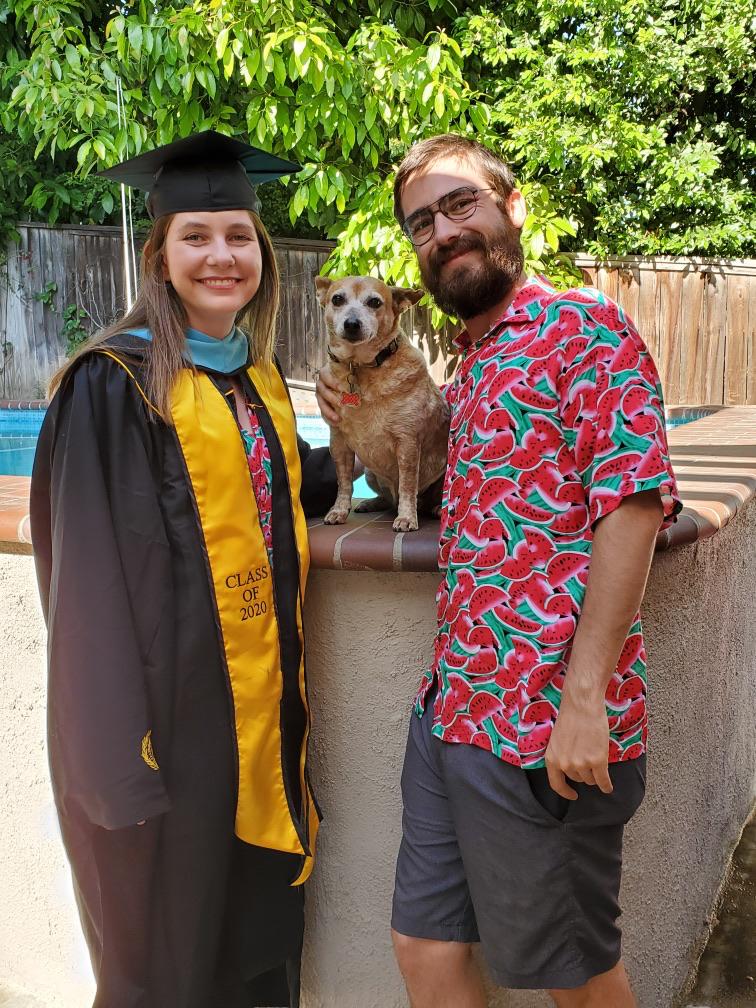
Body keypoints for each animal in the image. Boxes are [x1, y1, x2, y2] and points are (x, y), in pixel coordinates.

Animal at [314, 272, 449, 532]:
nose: (352, 323)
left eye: (375, 302)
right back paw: (372, 502)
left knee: (422, 498)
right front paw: (338, 510)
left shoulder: (407, 443)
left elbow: (407, 485)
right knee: (388, 498)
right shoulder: (339, 442)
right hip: (370, 472)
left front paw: (406, 517)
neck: (359, 367)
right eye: (337, 299)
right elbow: (344, 482)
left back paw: (436, 508)